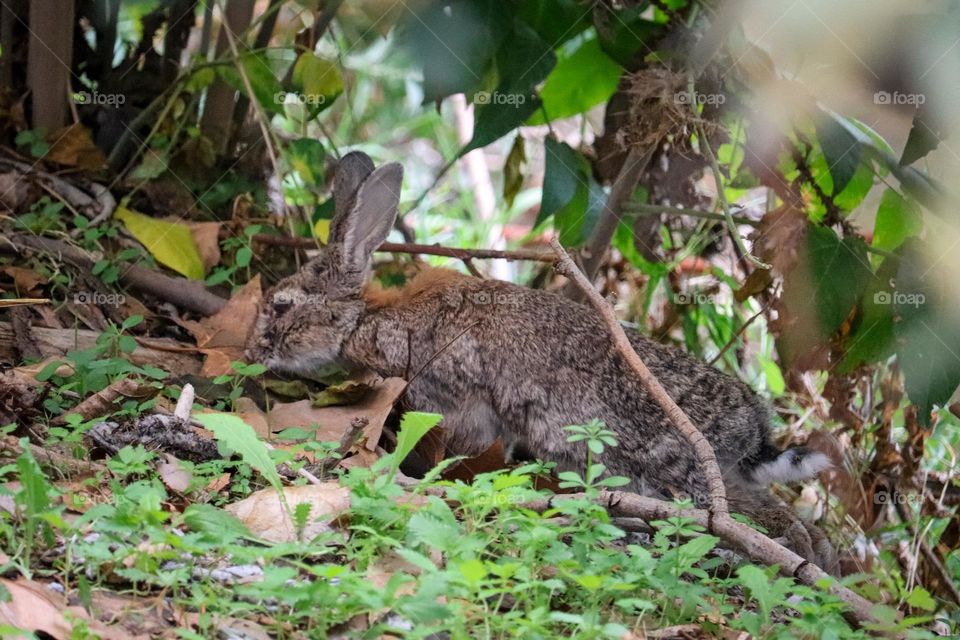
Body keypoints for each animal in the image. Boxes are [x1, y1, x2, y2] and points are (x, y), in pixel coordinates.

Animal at [246, 151, 838, 573]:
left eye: (282, 306)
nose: (252, 353)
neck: (366, 319)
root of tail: (752, 428)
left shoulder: (454, 401)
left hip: (679, 472)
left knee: (770, 523)